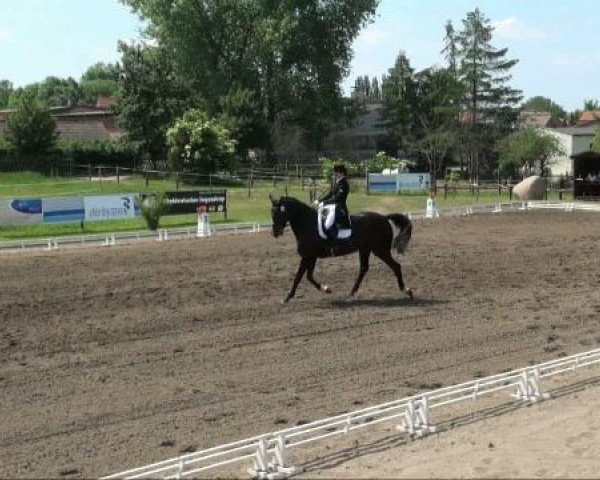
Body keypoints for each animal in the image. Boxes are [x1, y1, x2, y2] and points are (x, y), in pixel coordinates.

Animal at [268, 196, 412, 302]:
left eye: (278, 213)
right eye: (271, 213)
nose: (275, 233)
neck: (307, 224)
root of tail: (384, 218)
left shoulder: (308, 256)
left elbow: (298, 277)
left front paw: (287, 297)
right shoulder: (310, 256)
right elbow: (309, 276)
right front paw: (326, 289)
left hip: (380, 250)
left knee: (396, 266)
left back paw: (407, 291)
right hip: (365, 249)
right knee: (364, 269)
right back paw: (351, 293)